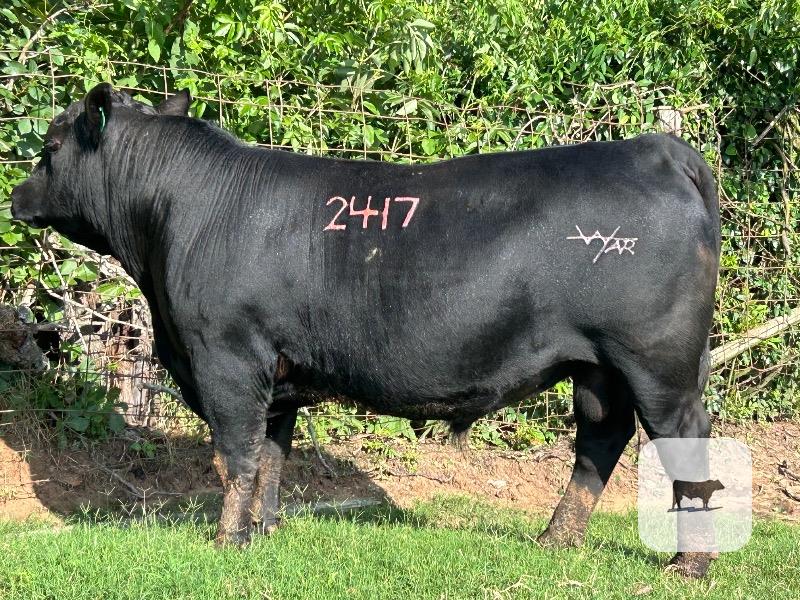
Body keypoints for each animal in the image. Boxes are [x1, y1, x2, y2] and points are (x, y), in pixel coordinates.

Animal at [11, 84, 720, 577]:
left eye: (50, 148)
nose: (15, 197)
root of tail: (655, 148)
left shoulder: (225, 355)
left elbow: (236, 455)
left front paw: (225, 542)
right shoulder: (279, 372)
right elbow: (272, 457)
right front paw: (264, 534)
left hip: (658, 361)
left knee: (682, 439)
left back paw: (687, 565)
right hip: (600, 366)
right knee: (601, 436)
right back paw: (555, 540)